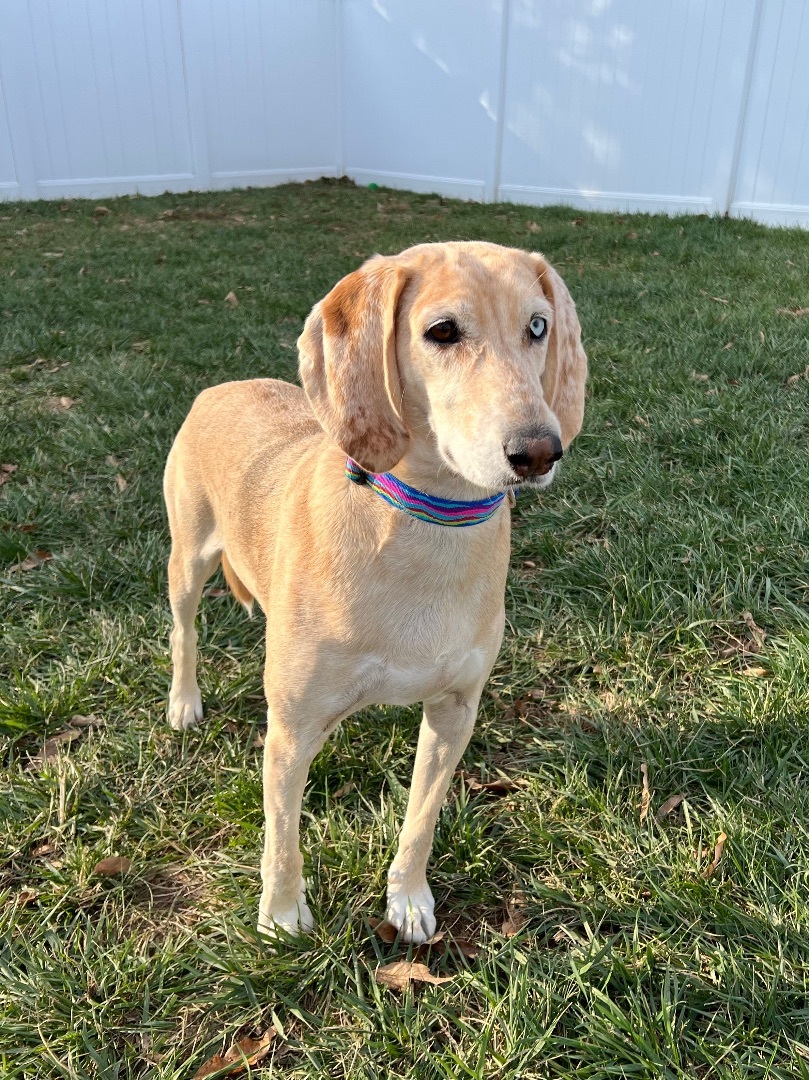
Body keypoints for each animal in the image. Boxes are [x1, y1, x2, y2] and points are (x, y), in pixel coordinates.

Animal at [162, 240, 587, 941]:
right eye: (441, 331)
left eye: (537, 326)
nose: (538, 451)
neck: (426, 523)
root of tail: (223, 385)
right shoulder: (289, 732)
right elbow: (281, 838)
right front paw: (282, 915)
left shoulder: (455, 712)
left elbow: (420, 822)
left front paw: (408, 898)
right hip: (187, 563)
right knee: (184, 633)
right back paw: (183, 701)